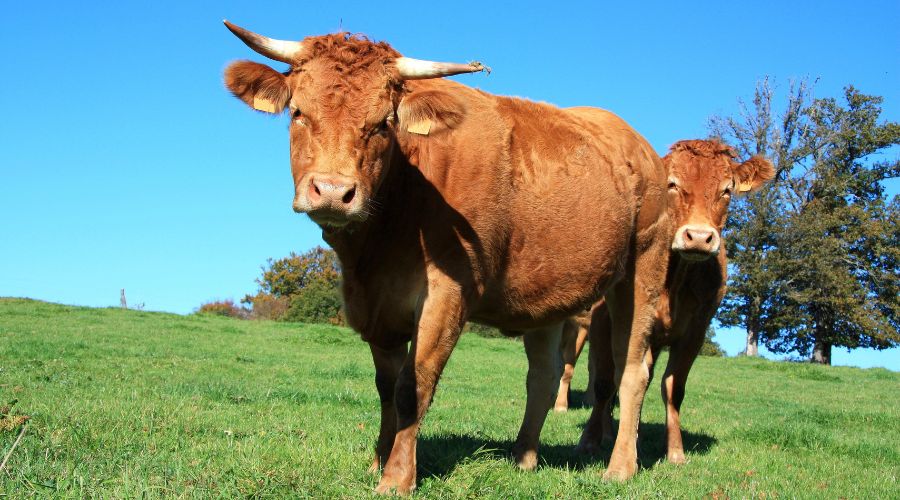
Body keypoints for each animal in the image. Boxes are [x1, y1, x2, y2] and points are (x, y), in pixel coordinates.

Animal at [222, 21, 670, 493]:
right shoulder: (378, 307)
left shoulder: (448, 293)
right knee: (543, 377)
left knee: (632, 371)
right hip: (549, 295)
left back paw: (619, 467)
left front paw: (397, 478)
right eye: (297, 113)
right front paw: (378, 459)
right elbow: (386, 386)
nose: (331, 191)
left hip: (644, 267)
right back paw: (523, 458)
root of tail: (640, 145)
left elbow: (412, 388)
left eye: (384, 124)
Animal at [576, 139, 775, 464]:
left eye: (726, 190)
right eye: (672, 184)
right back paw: (607, 433)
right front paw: (590, 441)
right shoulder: (604, 320)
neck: (673, 280)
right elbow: (604, 383)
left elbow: (673, 388)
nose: (699, 237)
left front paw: (675, 450)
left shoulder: (696, 330)